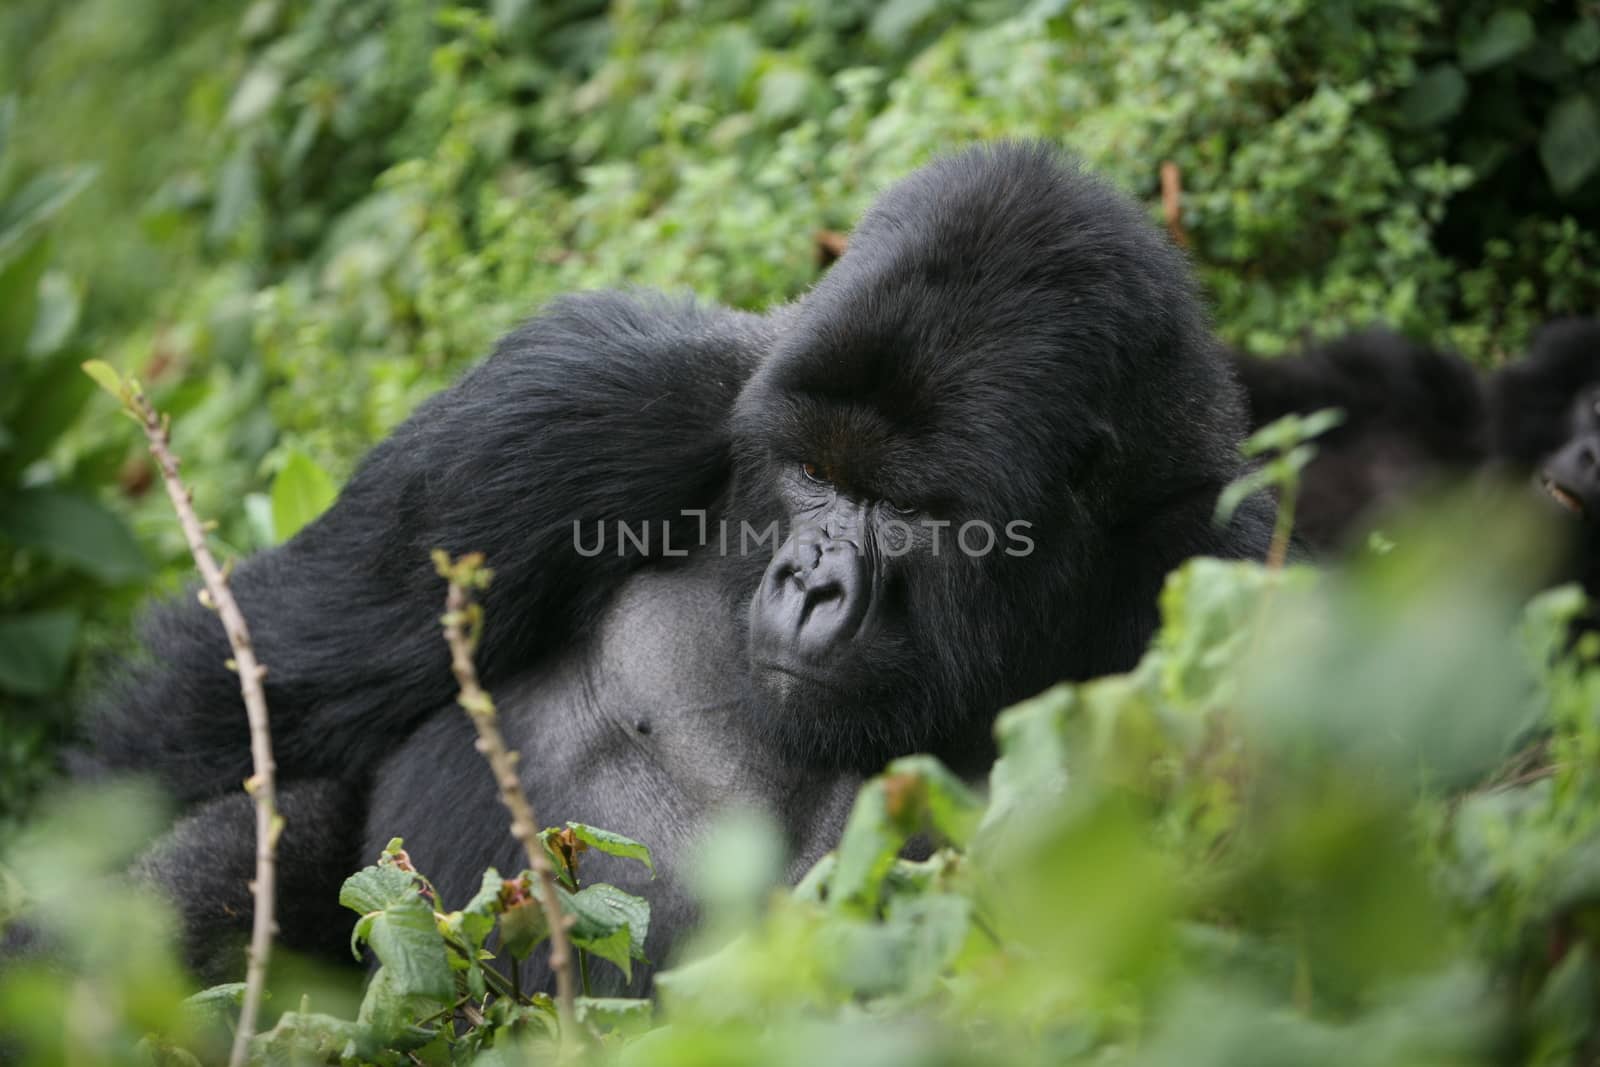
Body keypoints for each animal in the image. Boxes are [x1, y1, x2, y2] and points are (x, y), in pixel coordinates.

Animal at [68, 141, 1280, 991]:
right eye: (810, 472)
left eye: (907, 509)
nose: (811, 582)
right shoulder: (596, 394)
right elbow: (234, 703)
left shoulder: (1222, 568)